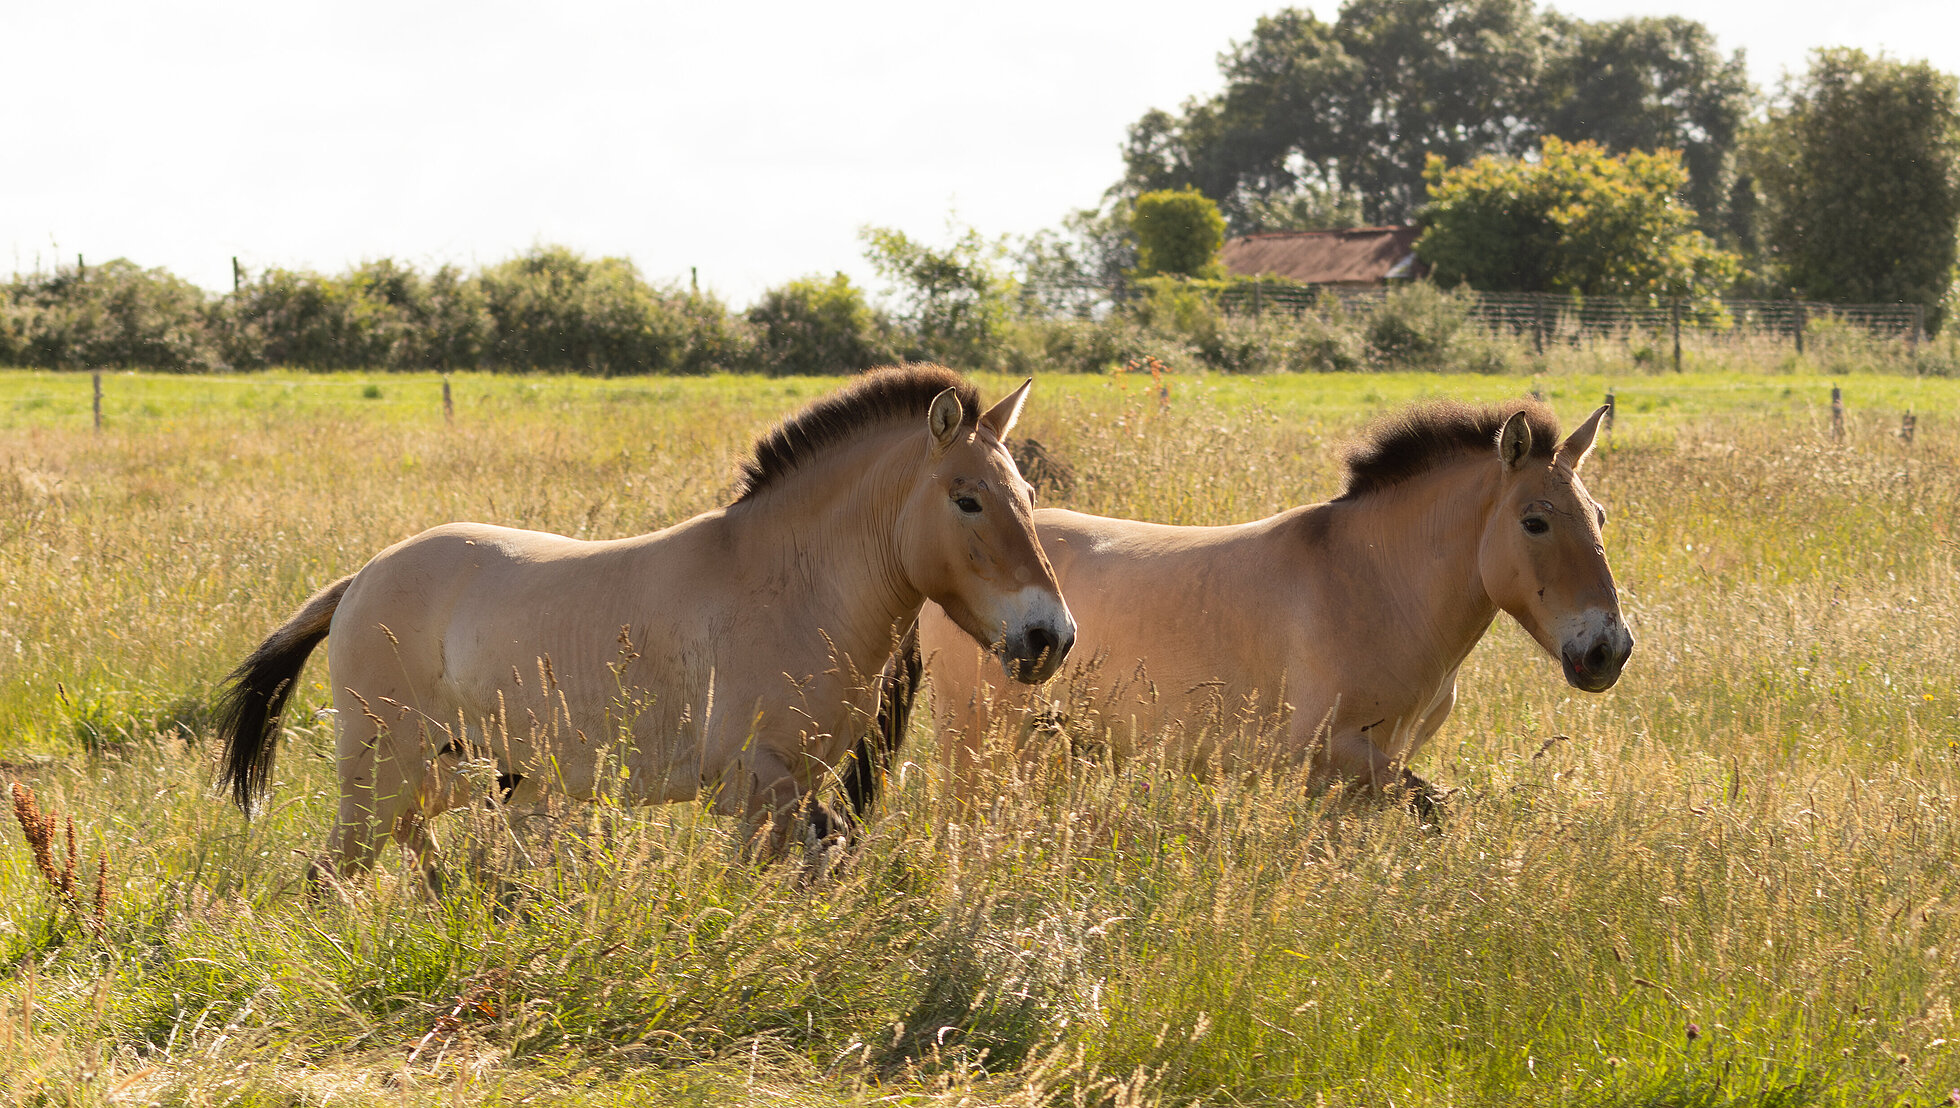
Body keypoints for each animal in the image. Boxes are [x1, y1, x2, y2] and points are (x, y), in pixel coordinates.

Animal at [215, 365, 1077, 888]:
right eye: (966, 499)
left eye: (1030, 494)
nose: (1050, 637)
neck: (791, 589)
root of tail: (361, 580)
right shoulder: (759, 793)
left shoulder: (802, 790)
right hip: (382, 774)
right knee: (334, 873)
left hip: (453, 772)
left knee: (412, 847)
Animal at [881, 399, 1631, 817]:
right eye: (1535, 522)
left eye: (1598, 515)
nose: (1608, 649)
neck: (1373, 584)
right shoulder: (1331, 758)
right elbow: (1434, 809)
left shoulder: (1369, 770)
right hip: (976, 741)